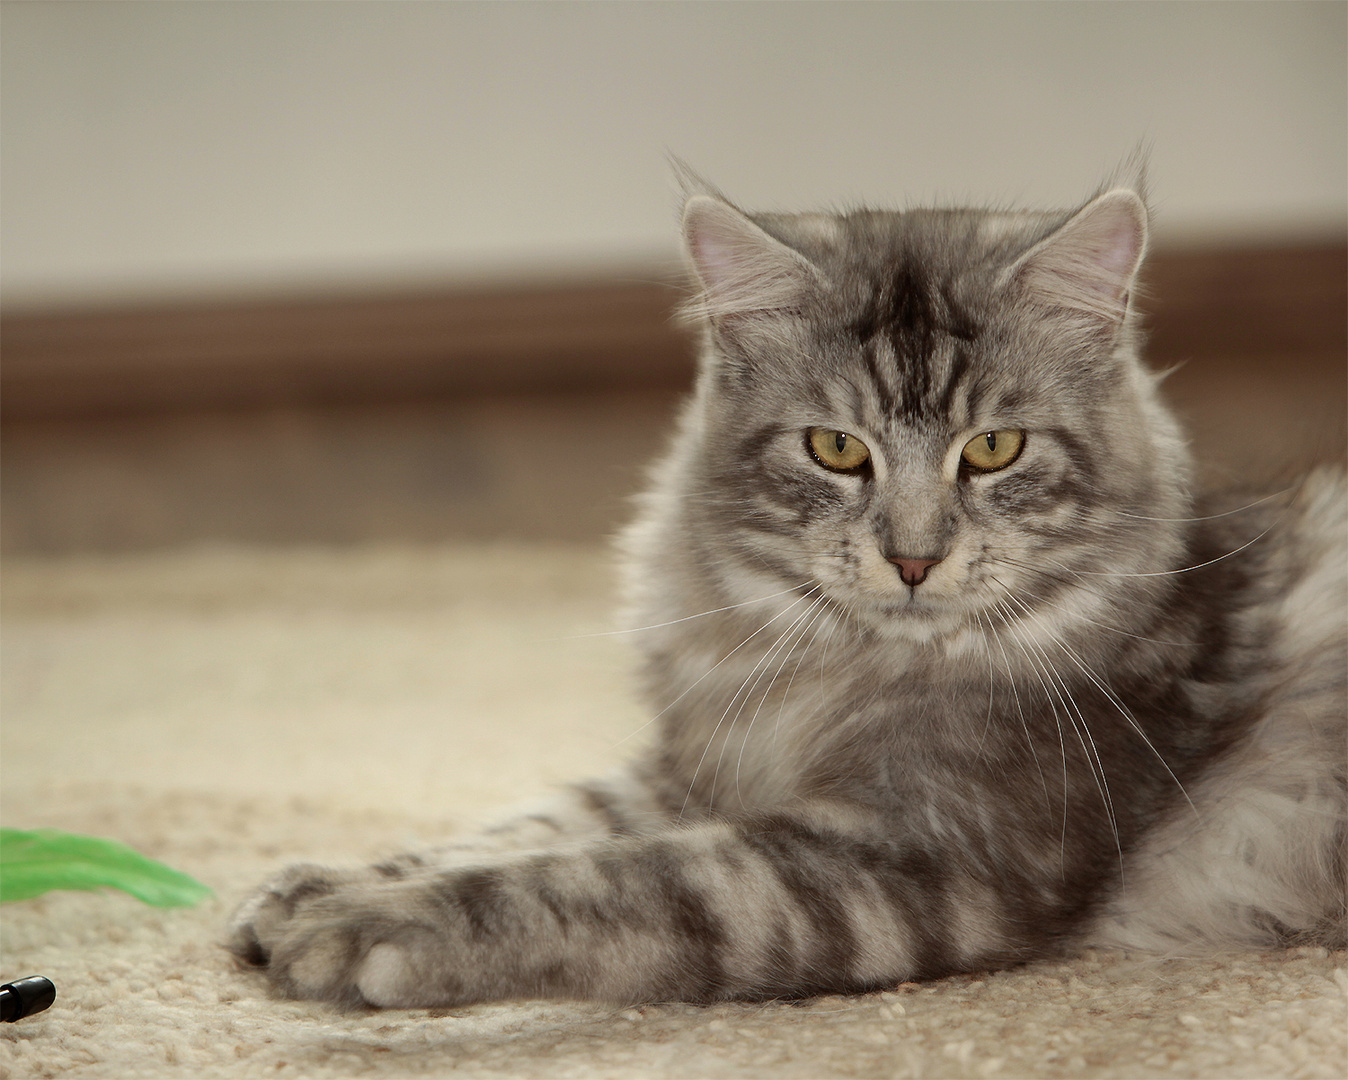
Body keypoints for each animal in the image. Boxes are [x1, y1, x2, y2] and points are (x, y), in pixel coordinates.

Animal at [226, 172, 1342, 1008]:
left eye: (993, 449)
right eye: (835, 449)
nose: (913, 558)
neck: (831, 668)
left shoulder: (925, 856)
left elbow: (602, 878)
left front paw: (364, 928)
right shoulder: (694, 765)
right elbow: (538, 820)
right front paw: (314, 885)